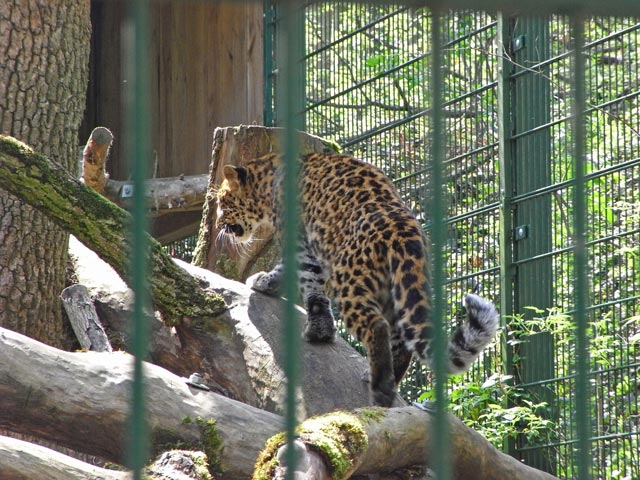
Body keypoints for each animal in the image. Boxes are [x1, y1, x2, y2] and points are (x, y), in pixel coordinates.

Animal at [215, 152, 500, 407]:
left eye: (222, 201)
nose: (218, 224)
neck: (267, 178)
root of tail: (403, 232)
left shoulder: (299, 242)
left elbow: (307, 283)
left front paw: (313, 327)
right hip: (397, 289)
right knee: (401, 339)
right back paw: (383, 378)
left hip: (351, 282)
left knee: (377, 326)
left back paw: (381, 390)